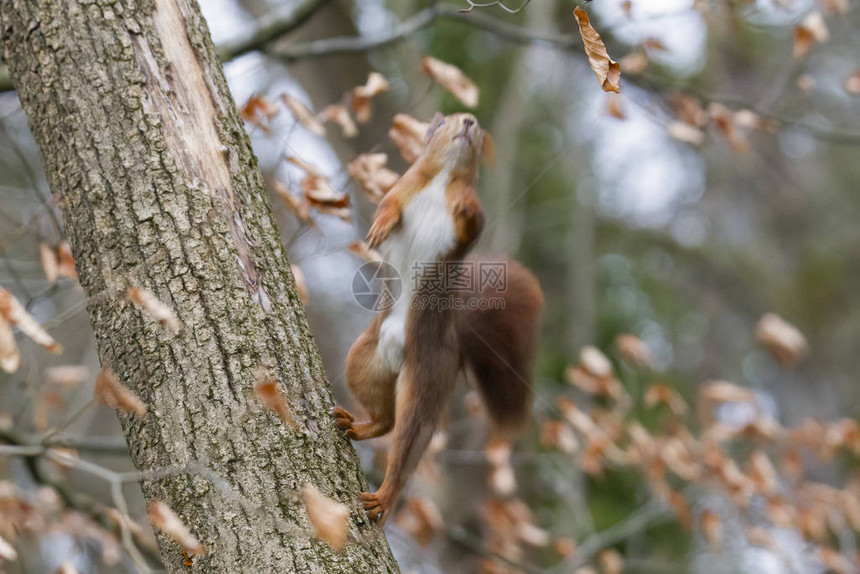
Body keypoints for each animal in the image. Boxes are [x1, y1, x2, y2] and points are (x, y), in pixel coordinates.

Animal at [332, 113, 540, 528]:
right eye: (443, 123)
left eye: (478, 129)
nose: (469, 121)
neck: (442, 179)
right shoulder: (401, 188)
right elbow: (387, 206)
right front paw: (381, 225)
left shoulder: (465, 225)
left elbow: (472, 223)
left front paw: (466, 210)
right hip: (362, 362)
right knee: (385, 420)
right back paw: (358, 424)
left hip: (425, 381)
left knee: (407, 439)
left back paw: (383, 497)